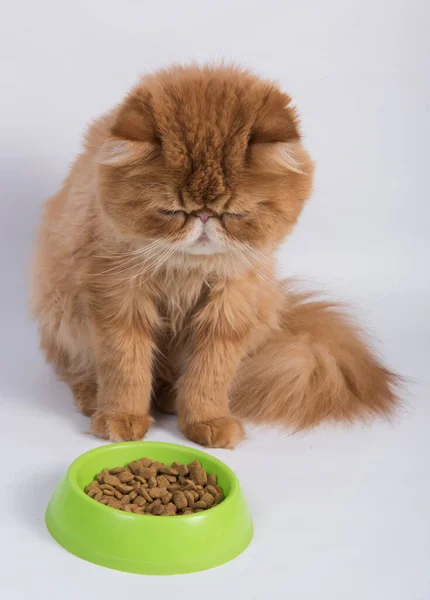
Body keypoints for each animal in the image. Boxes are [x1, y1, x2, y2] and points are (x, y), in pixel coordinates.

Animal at [31, 65, 396, 448]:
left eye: (234, 214)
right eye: (172, 211)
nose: (205, 217)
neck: (187, 270)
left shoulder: (230, 306)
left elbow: (209, 375)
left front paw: (207, 421)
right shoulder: (118, 296)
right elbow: (124, 367)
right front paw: (123, 418)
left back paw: (170, 398)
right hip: (62, 315)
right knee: (79, 370)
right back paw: (94, 398)